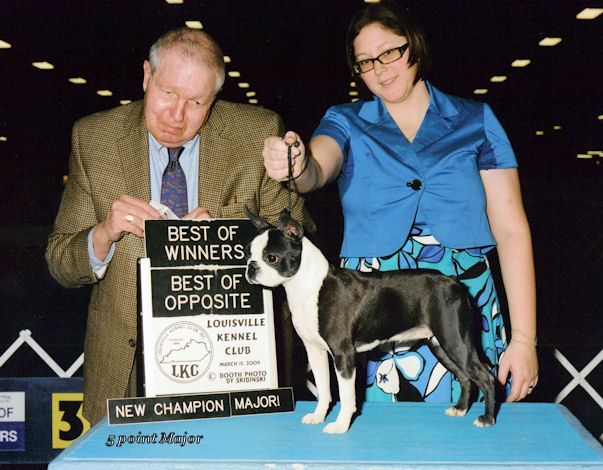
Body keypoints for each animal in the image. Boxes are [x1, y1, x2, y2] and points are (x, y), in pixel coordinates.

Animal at [245, 207, 496, 436]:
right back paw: (460, 409)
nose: (251, 267)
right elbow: (324, 389)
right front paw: (318, 416)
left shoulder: (343, 355)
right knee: (465, 376)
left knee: (486, 375)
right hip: (440, 345)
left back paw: (487, 418)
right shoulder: (315, 351)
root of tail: (454, 282)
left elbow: (346, 395)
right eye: (247, 255)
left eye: (271, 258)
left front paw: (340, 425)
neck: (309, 286)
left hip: (454, 340)